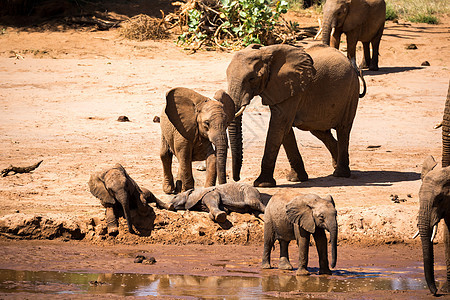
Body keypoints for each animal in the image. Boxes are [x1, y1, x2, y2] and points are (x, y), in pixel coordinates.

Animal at [227, 44, 364, 188]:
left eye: (252, 78)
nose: (236, 178)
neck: (265, 52)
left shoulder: (292, 89)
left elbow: (278, 125)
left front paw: (262, 184)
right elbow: (284, 130)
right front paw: (296, 179)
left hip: (351, 92)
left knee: (343, 129)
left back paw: (340, 173)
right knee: (320, 132)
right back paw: (337, 165)